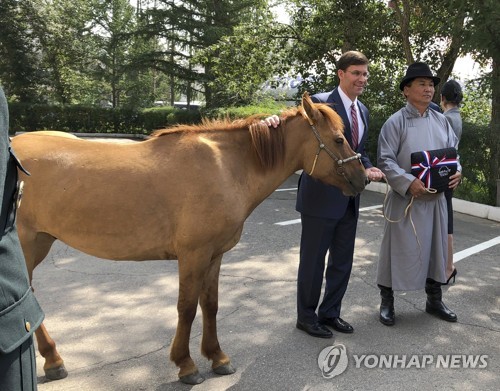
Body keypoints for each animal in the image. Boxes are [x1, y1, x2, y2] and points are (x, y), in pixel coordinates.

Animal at [10, 93, 364, 384]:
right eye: (338, 139)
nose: (361, 178)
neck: (227, 167)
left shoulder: (215, 255)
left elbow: (210, 305)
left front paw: (217, 357)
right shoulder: (193, 255)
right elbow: (187, 308)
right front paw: (186, 364)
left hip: (40, 241)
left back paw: (53, 360)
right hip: (26, 245)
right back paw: (53, 360)